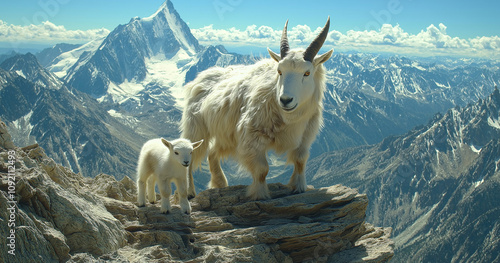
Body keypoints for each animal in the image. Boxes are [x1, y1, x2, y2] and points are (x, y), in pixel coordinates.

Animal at [180, 18, 332, 200]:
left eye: (307, 73)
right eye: (279, 71)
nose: (285, 100)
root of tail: (198, 80)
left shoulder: (305, 135)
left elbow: (300, 161)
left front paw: (299, 187)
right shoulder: (253, 137)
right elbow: (262, 170)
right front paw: (260, 194)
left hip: (226, 134)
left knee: (212, 152)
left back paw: (220, 183)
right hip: (196, 127)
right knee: (190, 155)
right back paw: (189, 192)